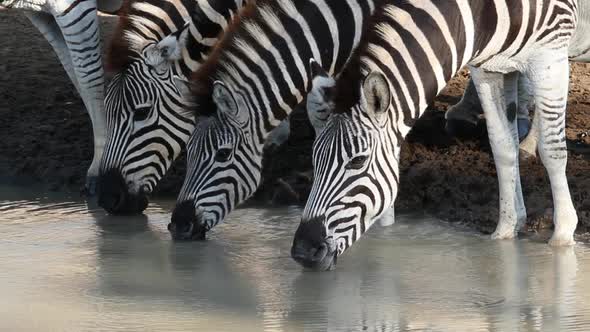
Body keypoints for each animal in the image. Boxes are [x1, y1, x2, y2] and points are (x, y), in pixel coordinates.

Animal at [292, 0, 584, 270]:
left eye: (358, 161)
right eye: (314, 159)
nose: (303, 252)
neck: (480, 15)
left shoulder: (551, 54)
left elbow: (552, 150)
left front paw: (562, 234)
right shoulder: (488, 69)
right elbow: (502, 146)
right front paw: (506, 230)